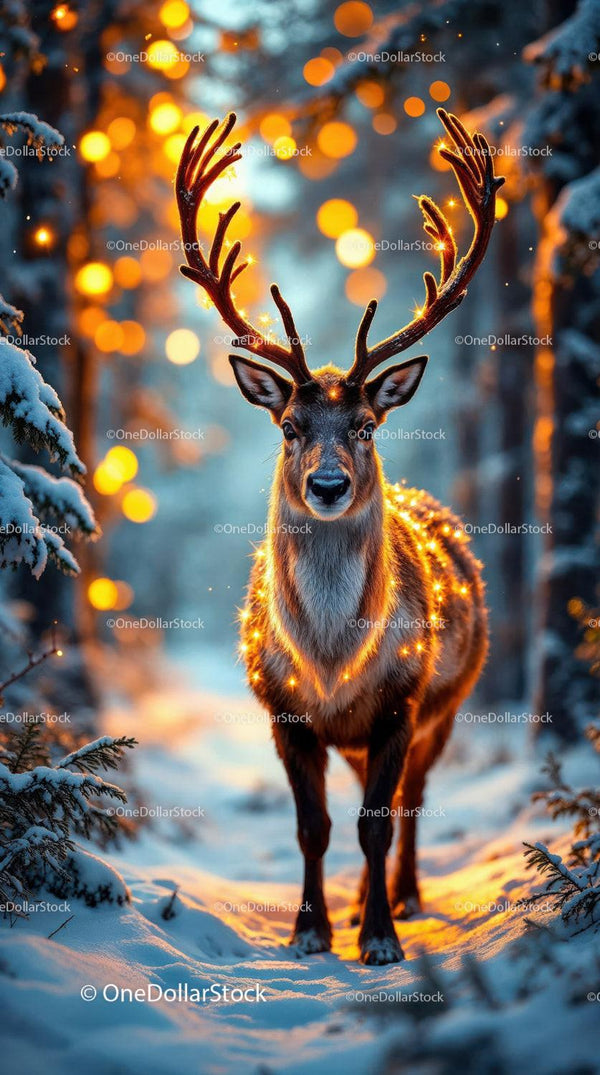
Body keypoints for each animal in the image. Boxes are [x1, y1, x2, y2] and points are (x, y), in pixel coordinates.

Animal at [176, 108, 504, 965]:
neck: (330, 666)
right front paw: (312, 929)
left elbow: (377, 823)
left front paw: (383, 936)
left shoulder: (401, 699)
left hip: (446, 705)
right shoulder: (284, 711)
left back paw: (403, 895)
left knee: (410, 801)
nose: (329, 485)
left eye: (364, 424)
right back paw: (358, 903)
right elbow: (314, 827)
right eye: (290, 425)